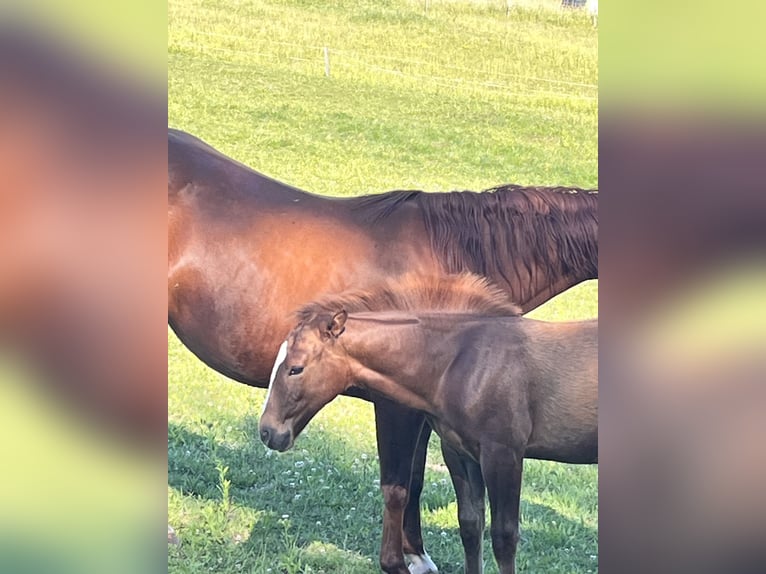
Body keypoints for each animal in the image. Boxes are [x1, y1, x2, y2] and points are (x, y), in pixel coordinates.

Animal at [259, 273, 598, 574]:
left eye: (296, 368)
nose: (267, 431)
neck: (468, 359)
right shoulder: (460, 453)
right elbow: (470, 526)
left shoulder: (504, 454)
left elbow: (504, 537)